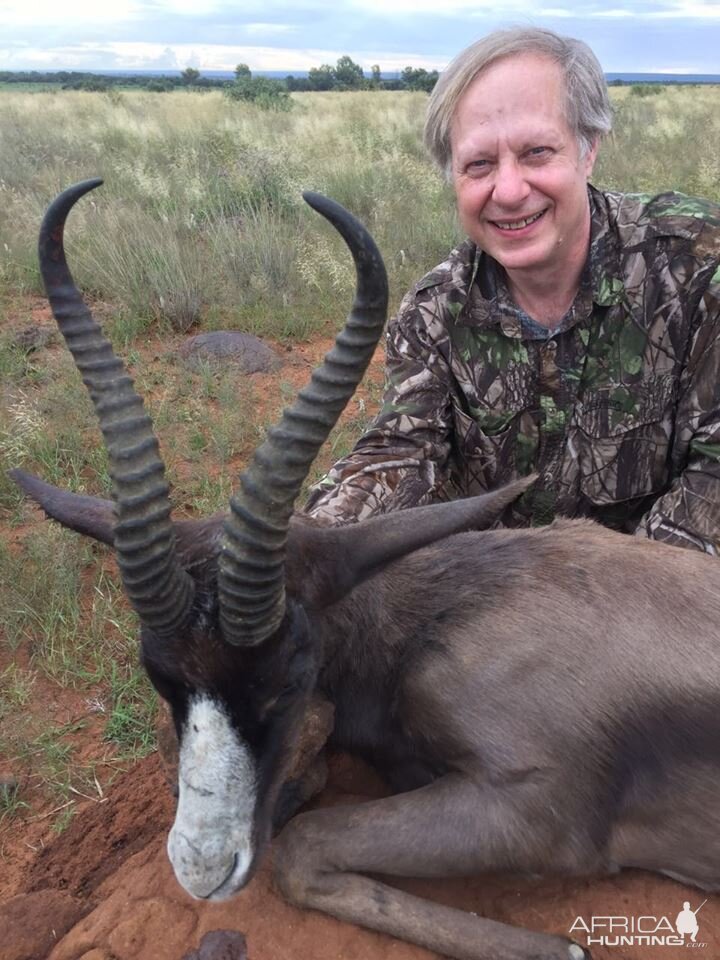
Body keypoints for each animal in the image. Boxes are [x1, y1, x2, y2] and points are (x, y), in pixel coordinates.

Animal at [9, 178, 720, 960]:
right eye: (161, 679)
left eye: (285, 679)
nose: (203, 868)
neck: (443, 616)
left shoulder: (536, 810)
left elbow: (301, 848)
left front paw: (559, 948)